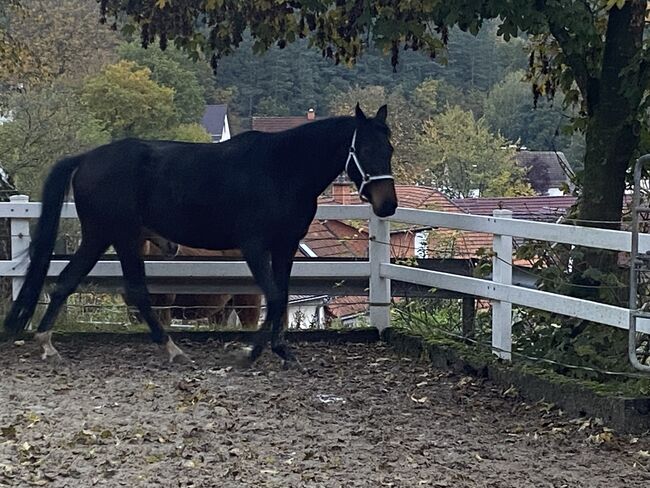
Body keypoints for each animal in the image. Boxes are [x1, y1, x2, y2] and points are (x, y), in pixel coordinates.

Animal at [3, 105, 394, 364]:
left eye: (389, 149)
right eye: (365, 149)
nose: (387, 204)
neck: (281, 169)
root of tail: (86, 159)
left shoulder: (284, 247)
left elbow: (281, 296)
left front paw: (281, 350)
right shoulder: (254, 247)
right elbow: (273, 296)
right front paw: (251, 353)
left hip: (105, 237)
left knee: (67, 282)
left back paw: (48, 343)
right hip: (116, 236)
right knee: (128, 289)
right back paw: (169, 348)